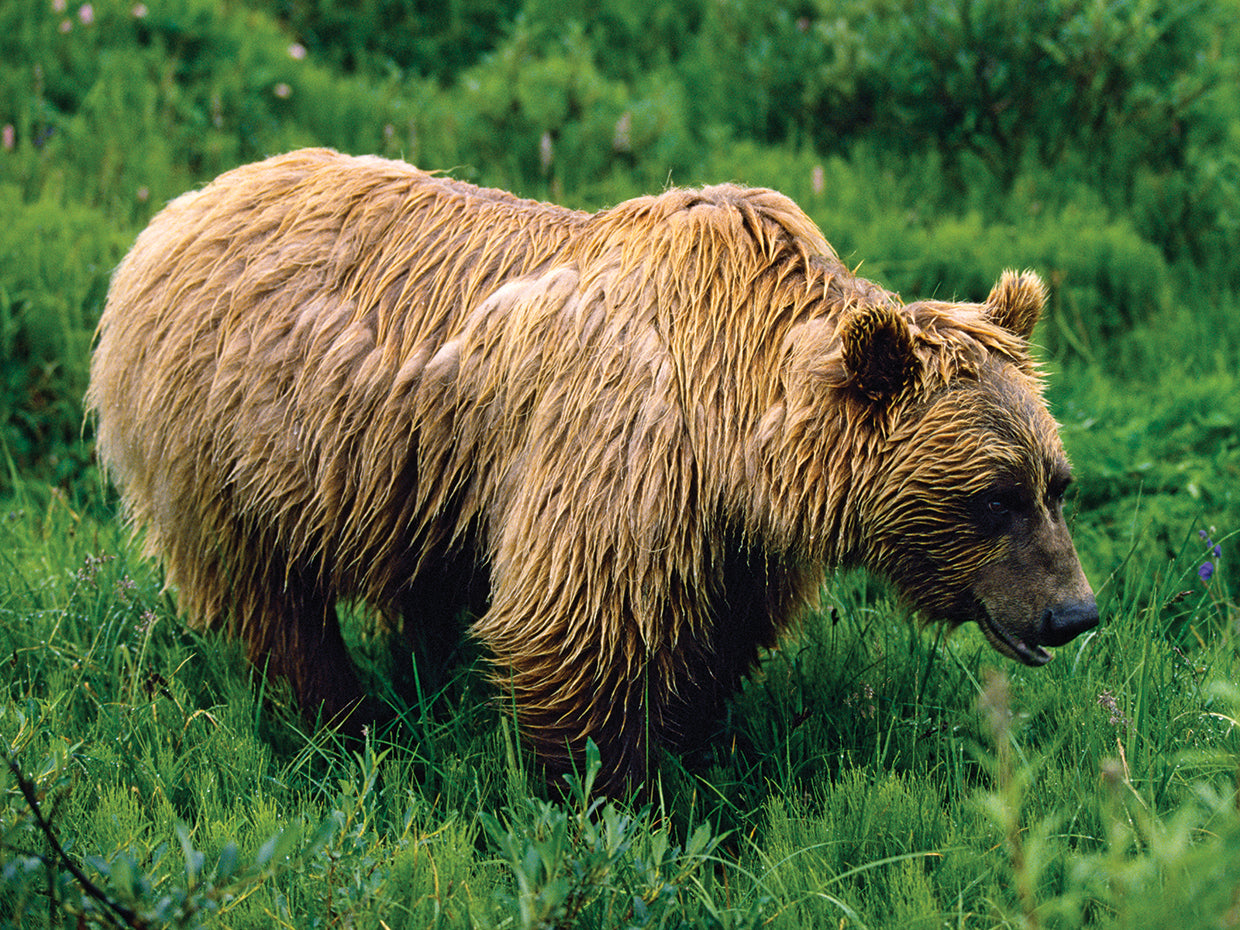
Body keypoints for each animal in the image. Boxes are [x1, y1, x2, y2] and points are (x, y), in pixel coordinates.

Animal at [87, 148, 1098, 793]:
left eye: (1057, 484)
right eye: (993, 499)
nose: (1074, 612)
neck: (738, 429)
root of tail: (179, 210)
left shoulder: (733, 537)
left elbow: (715, 642)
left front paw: (692, 750)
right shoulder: (620, 454)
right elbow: (577, 631)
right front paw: (608, 795)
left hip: (409, 473)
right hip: (226, 446)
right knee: (273, 604)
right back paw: (341, 720)